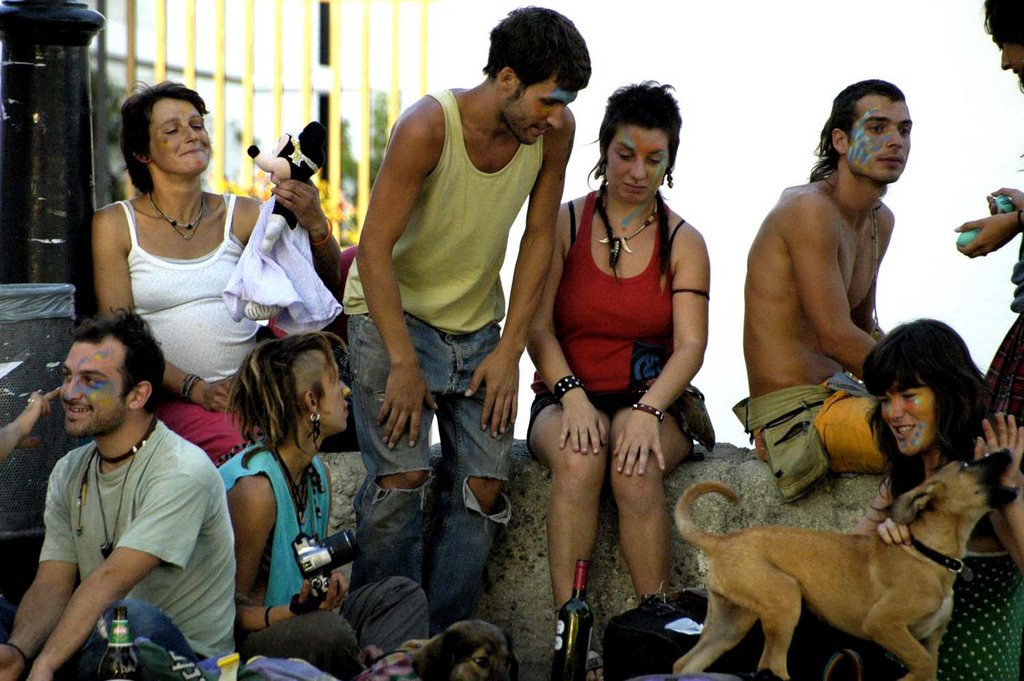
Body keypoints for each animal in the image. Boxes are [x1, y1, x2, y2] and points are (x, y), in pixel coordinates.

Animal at [671, 448, 1015, 675]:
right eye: (968, 463)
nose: (1008, 450)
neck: (928, 552)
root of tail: (722, 541)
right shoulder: (882, 623)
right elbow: (923, 664)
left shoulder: (931, 637)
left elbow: (929, 667)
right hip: (784, 600)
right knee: (771, 666)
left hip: (730, 623)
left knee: (684, 663)